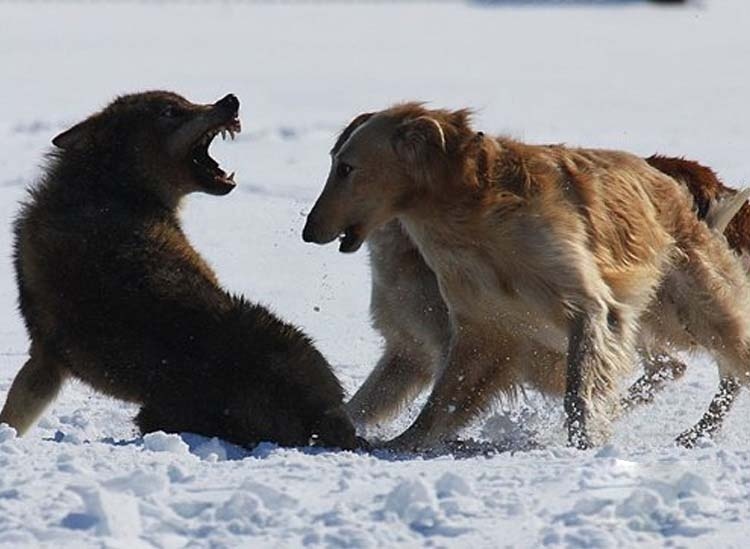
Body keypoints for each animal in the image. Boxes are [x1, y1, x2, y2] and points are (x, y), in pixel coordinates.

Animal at [0, 91, 362, 450]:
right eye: (170, 111)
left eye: (185, 101)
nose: (230, 100)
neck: (111, 187)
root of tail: (320, 413)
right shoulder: (47, 357)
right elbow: (14, 415)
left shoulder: (47, 355)